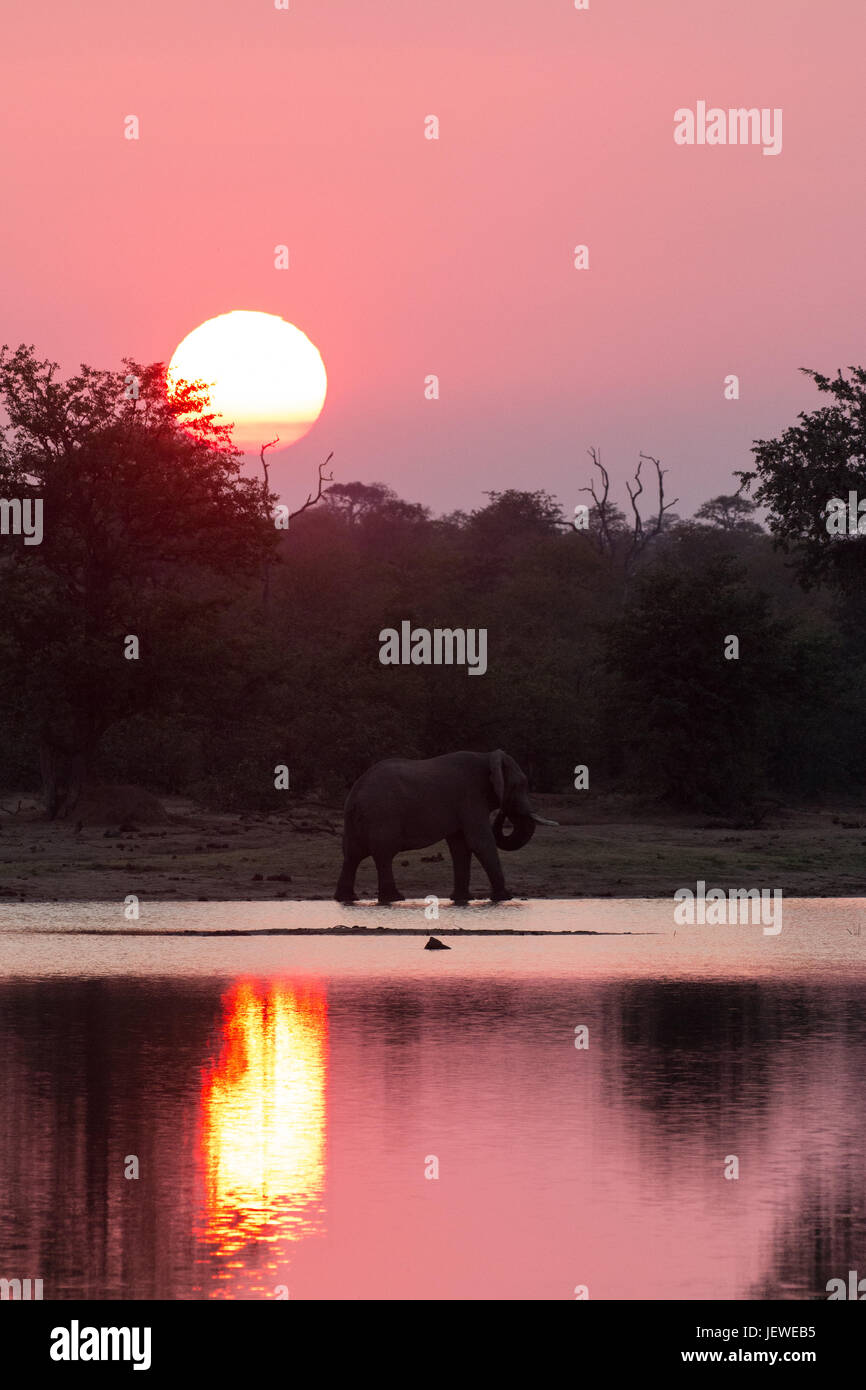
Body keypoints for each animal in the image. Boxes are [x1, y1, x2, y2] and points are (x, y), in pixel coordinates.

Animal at [332, 745, 556, 906]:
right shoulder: (470, 796)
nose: (504, 809)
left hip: (357, 820)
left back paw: (347, 899)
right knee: (383, 854)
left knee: (352, 855)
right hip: (382, 815)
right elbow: (480, 842)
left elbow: (461, 846)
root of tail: (356, 793)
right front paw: (504, 898)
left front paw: (462, 899)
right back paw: (395, 899)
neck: (486, 757)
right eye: (520, 785)